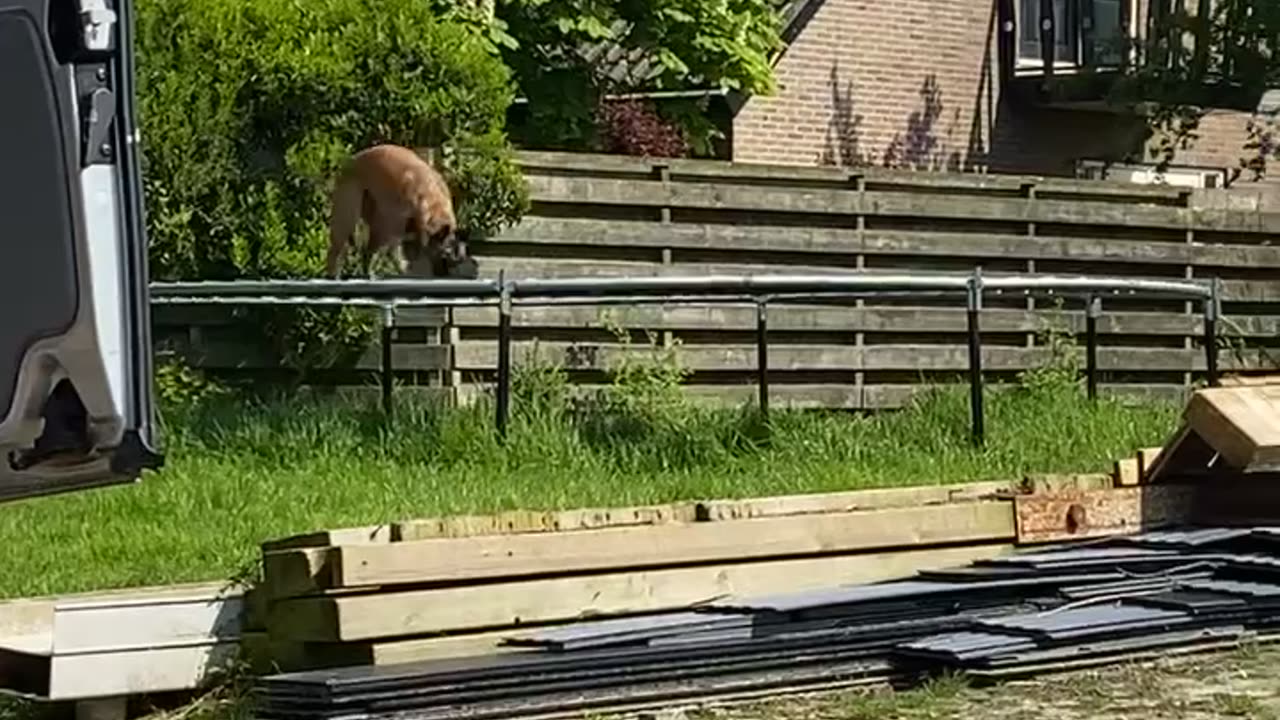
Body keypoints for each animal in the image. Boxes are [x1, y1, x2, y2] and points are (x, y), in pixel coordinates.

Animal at [322, 144, 478, 279]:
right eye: (446, 256)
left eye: (459, 259)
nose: (443, 274)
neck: (433, 205)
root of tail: (349, 162)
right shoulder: (390, 221)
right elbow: (380, 248)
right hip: (349, 208)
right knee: (338, 245)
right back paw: (334, 274)